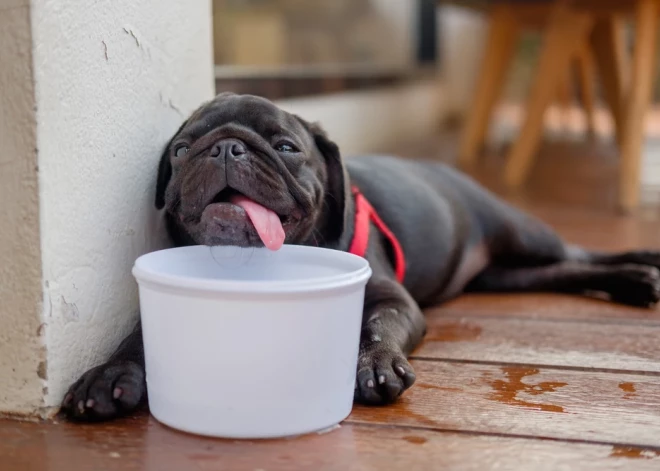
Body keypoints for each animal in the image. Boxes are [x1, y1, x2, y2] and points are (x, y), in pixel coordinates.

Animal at [62, 91, 660, 420]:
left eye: (286, 148)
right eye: (183, 151)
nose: (225, 147)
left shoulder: (393, 300)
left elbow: (374, 326)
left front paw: (374, 364)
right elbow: (137, 335)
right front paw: (107, 376)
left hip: (522, 232)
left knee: (578, 252)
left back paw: (640, 270)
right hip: (504, 276)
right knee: (558, 271)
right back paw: (633, 282)